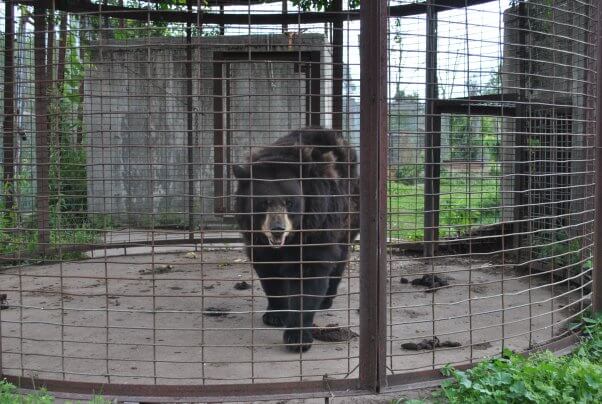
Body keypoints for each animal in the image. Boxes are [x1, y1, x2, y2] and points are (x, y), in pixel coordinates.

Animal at [232, 128, 358, 352]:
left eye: (289, 202)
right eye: (263, 202)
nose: (277, 230)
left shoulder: (318, 225)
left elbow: (308, 273)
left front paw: (298, 337)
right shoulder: (257, 237)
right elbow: (268, 270)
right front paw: (275, 315)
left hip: (348, 217)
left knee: (340, 257)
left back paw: (326, 299)